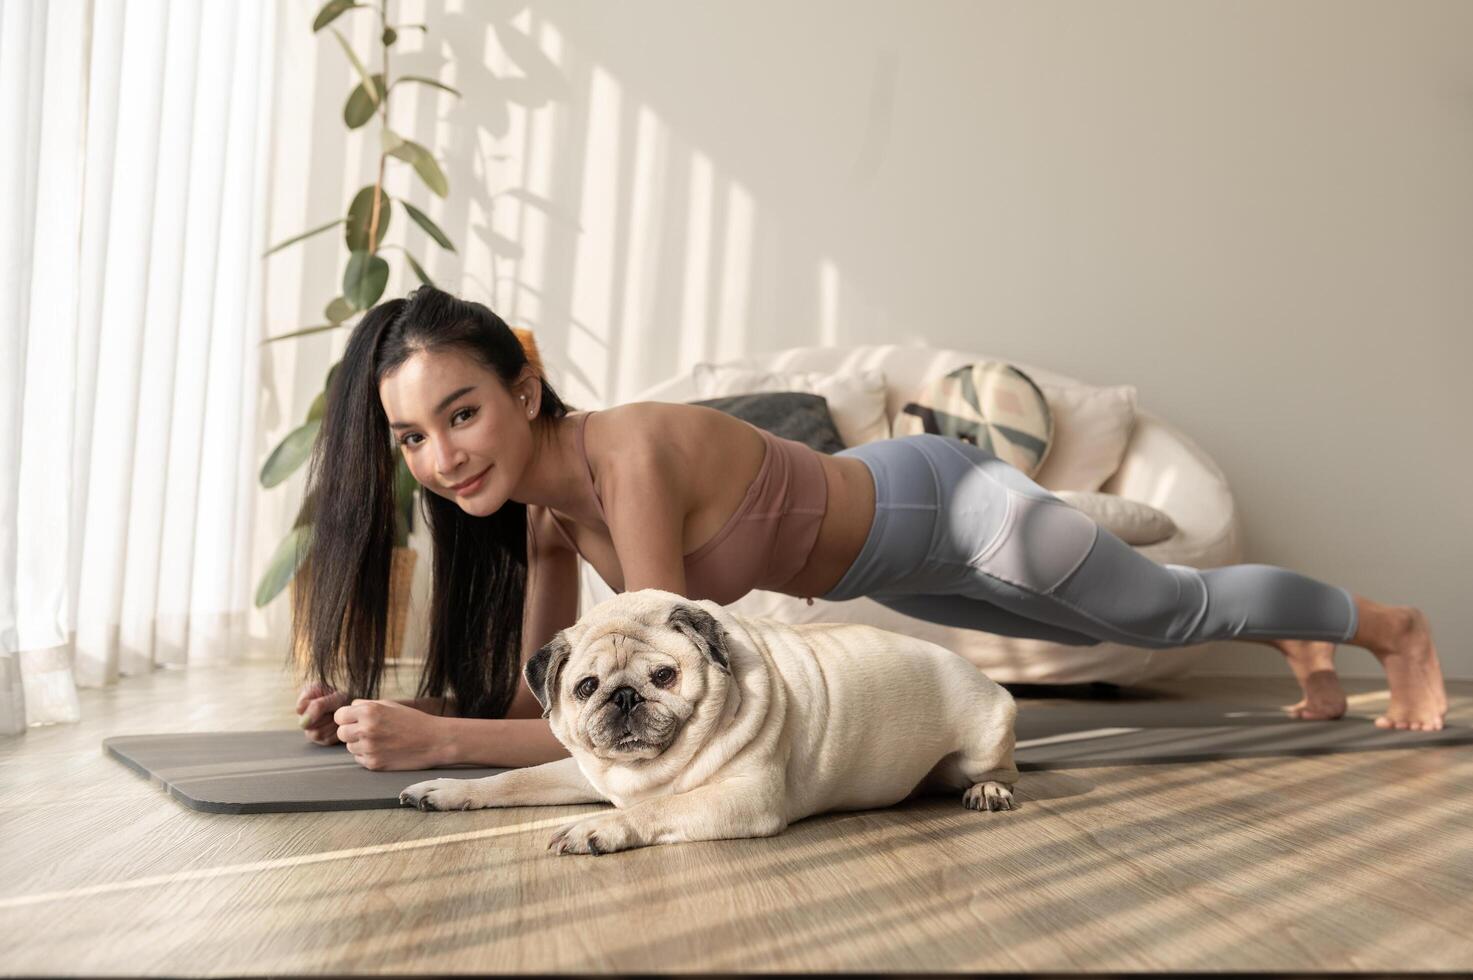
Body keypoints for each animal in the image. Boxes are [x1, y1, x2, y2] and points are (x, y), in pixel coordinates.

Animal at [403, 583, 1025, 854]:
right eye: (586, 688)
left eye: (664, 677)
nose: (623, 697)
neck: (646, 770)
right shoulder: (579, 771)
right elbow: (514, 779)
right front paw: (446, 790)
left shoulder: (744, 799)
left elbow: (656, 809)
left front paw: (597, 828)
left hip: (984, 736)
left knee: (1002, 770)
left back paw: (989, 791)